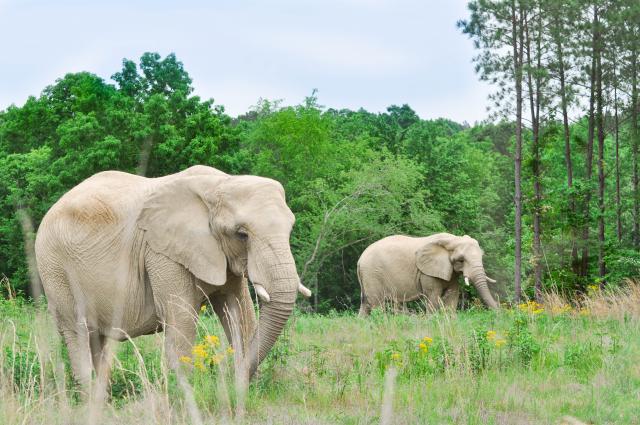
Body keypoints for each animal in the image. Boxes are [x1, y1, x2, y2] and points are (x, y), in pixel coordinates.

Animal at [34, 165, 311, 390]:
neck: (218, 185)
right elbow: (181, 320)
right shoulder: (161, 252)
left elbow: (239, 312)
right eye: (242, 234)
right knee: (77, 332)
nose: (234, 378)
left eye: (291, 229)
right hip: (55, 268)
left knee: (97, 341)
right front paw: (186, 396)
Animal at [357, 233, 498, 315]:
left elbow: (452, 295)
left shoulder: (450, 271)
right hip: (373, 274)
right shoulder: (427, 272)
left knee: (365, 304)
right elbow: (433, 295)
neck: (452, 239)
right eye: (461, 260)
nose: (498, 312)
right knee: (376, 304)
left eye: (482, 256)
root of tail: (359, 260)